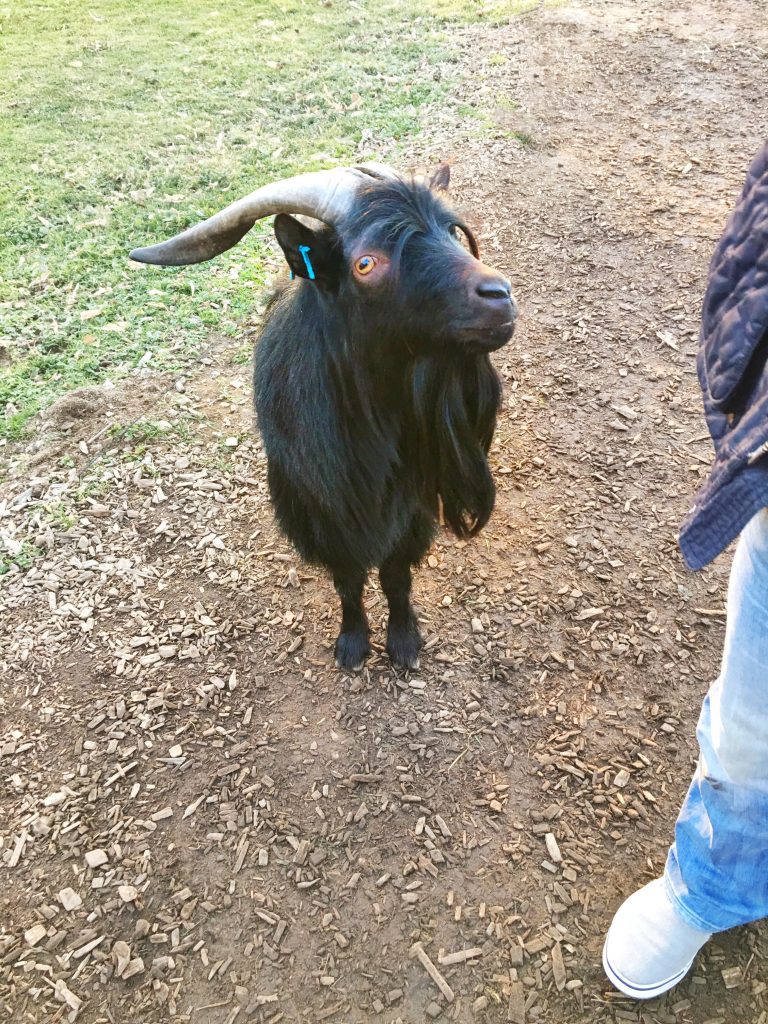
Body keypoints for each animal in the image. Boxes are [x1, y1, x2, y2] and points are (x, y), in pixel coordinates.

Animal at [131, 164, 517, 670]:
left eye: (452, 231)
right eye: (366, 263)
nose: (500, 295)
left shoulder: (411, 506)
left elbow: (395, 575)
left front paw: (403, 640)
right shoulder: (319, 507)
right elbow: (348, 577)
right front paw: (352, 643)